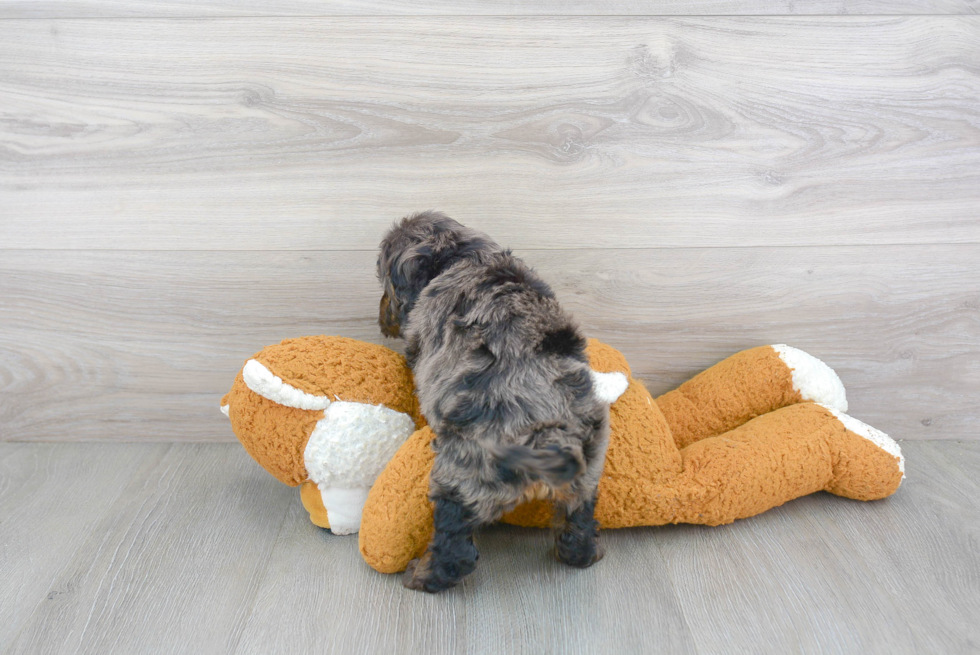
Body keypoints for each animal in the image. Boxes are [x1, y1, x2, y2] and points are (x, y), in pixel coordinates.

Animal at [378, 211, 608, 596]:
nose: (383, 316)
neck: (462, 255)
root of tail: (548, 436)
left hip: (460, 475)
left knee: (456, 548)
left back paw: (422, 576)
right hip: (587, 471)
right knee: (578, 522)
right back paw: (585, 552)